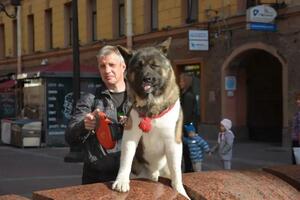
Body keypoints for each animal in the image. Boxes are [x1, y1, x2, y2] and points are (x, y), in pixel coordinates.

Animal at [112, 38, 190, 199]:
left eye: (155, 65)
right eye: (138, 66)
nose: (146, 78)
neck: (152, 106)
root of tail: (154, 175)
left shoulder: (173, 141)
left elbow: (176, 170)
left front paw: (180, 190)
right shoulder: (130, 137)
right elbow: (126, 160)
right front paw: (121, 181)